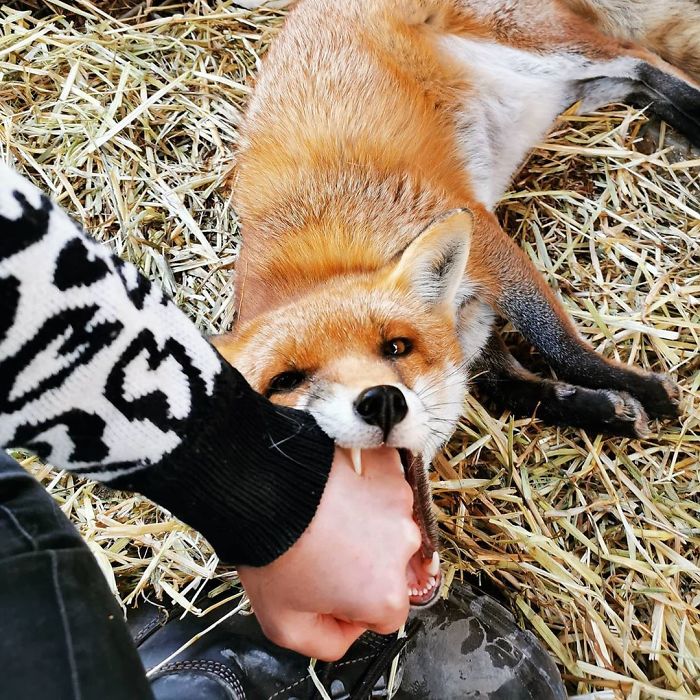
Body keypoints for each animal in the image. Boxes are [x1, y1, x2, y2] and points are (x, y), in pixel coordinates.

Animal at [214, 0, 700, 605]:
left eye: (396, 347)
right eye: (283, 382)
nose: (378, 402)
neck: (326, 257)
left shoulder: (481, 236)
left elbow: (554, 340)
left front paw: (640, 390)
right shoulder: (466, 317)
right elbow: (507, 383)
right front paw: (600, 408)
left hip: (546, 47)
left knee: (644, 61)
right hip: (569, 81)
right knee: (636, 81)